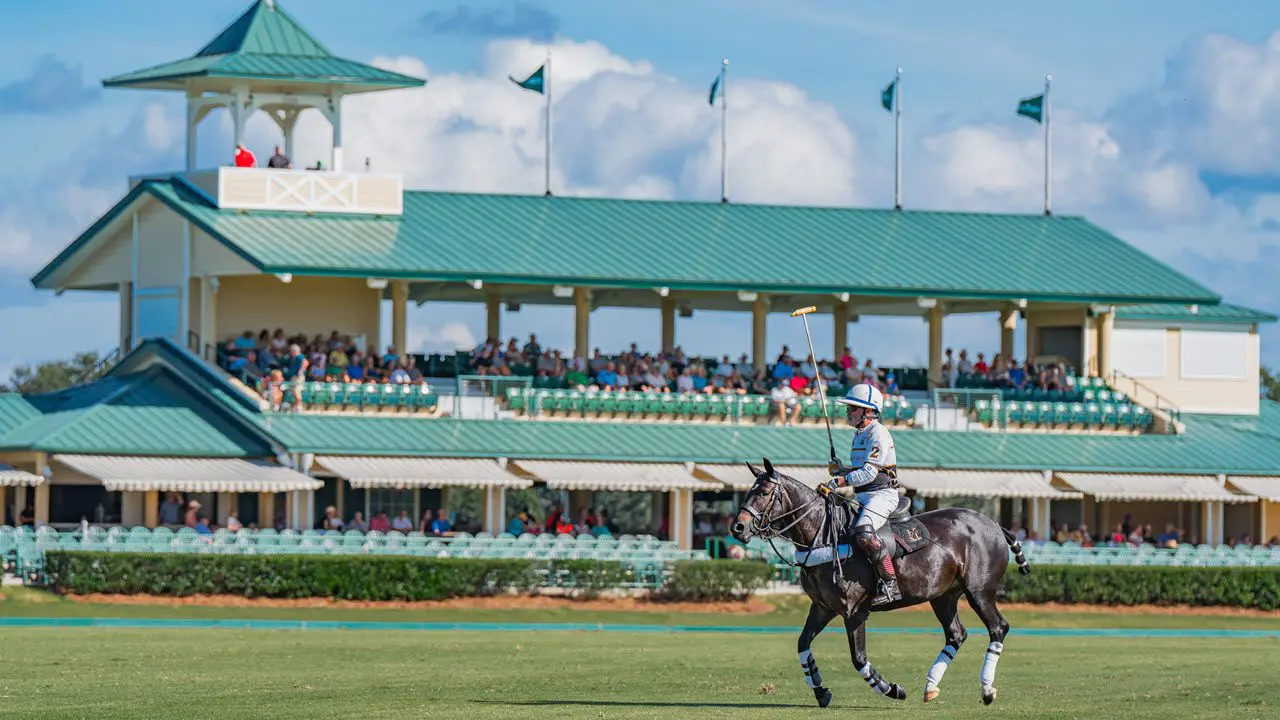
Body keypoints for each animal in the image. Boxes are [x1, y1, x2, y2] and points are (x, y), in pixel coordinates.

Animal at [732, 458, 1029, 702]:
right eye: (748, 491)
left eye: (764, 492)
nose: (737, 527)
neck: (824, 535)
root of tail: (994, 524)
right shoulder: (822, 608)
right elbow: (802, 643)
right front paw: (820, 690)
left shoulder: (854, 611)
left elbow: (858, 658)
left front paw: (892, 689)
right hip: (943, 595)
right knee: (956, 634)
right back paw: (930, 686)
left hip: (979, 591)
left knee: (998, 627)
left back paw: (986, 689)